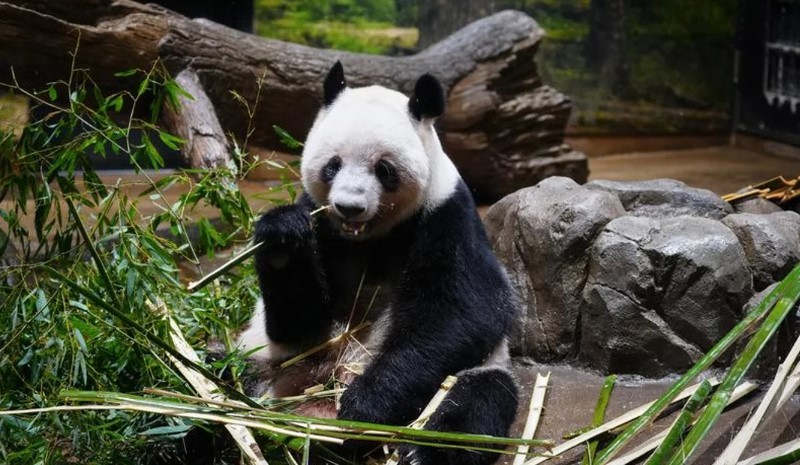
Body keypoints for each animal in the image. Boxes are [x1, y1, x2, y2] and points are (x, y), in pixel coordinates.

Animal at [237, 61, 520, 465]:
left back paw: (421, 452)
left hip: (477, 372)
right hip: (262, 362)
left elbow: (466, 312)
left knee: (475, 403)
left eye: (383, 169)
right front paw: (281, 238)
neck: (369, 238)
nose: (348, 207)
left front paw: (365, 405)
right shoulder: (322, 225)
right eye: (333, 165)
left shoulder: (446, 216)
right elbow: (298, 324)